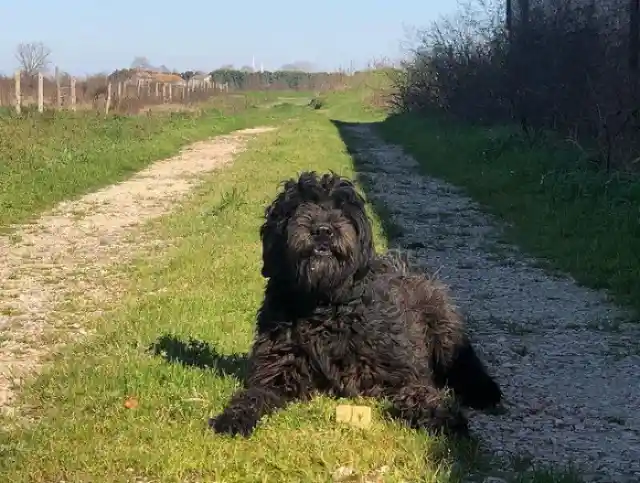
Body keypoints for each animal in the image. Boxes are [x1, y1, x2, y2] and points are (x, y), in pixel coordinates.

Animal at [209, 171, 500, 438]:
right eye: (299, 206)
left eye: (342, 209)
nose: (323, 231)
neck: (324, 306)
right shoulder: (274, 373)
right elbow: (254, 394)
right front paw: (234, 416)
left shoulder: (400, 371)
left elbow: (418, 390)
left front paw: (441, 414)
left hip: (443, 327)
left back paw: (484, 390)